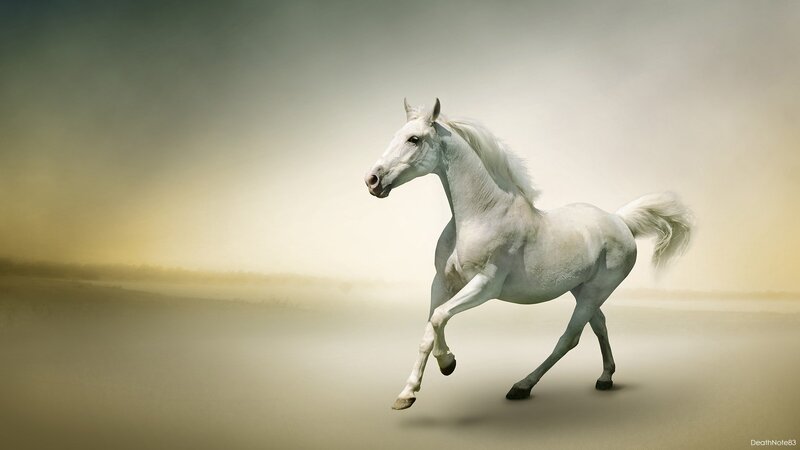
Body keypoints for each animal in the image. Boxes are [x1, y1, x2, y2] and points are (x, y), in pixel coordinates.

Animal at [364, 98, 693, 410]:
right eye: (397, 135)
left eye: (414, 139)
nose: (372, 180)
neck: (482, 214)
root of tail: (620, 220)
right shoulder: (442, 282)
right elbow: (429, 329)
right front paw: (407, 394)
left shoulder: (485, 286)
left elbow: (439, 318)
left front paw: (448, 364)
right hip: (580, 289)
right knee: (599, 324)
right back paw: (605, 377)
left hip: (594, 292)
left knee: (569, 338)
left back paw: (522, 386)